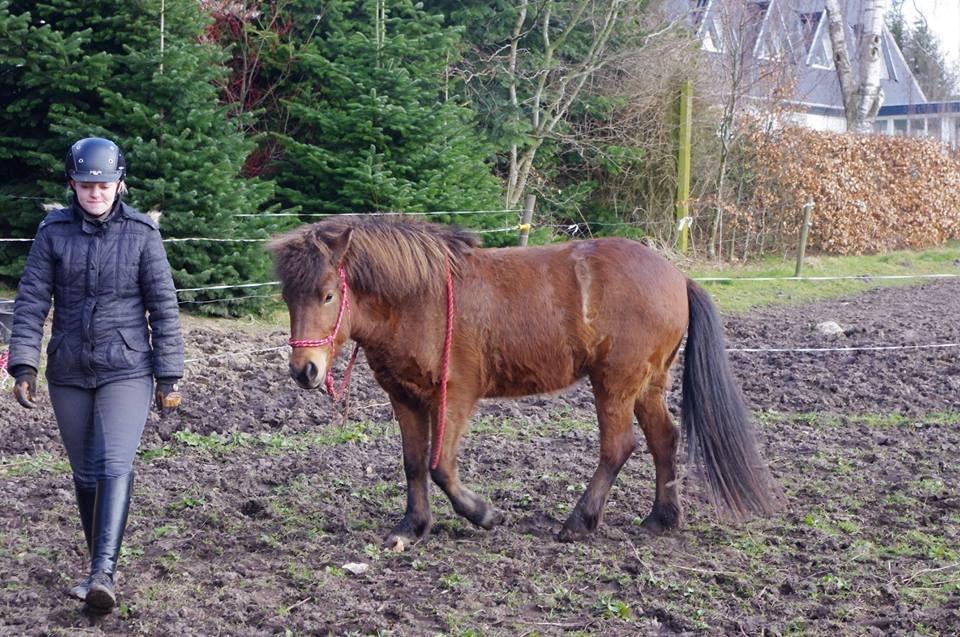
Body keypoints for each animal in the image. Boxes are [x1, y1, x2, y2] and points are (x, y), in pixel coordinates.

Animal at [266, 217, 776, 548]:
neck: (420, 299)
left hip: (614, 384)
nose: (304, 370)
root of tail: (678, 277)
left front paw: (485, 514)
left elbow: (440, 466)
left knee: (618, 447)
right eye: (289, 296)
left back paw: (579, 522)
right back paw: (661, 518)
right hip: (647, 384)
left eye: (327, 294)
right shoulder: (405, 398)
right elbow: (413, 466)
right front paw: (412, 527)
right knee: (663, 440)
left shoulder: (455, 396)